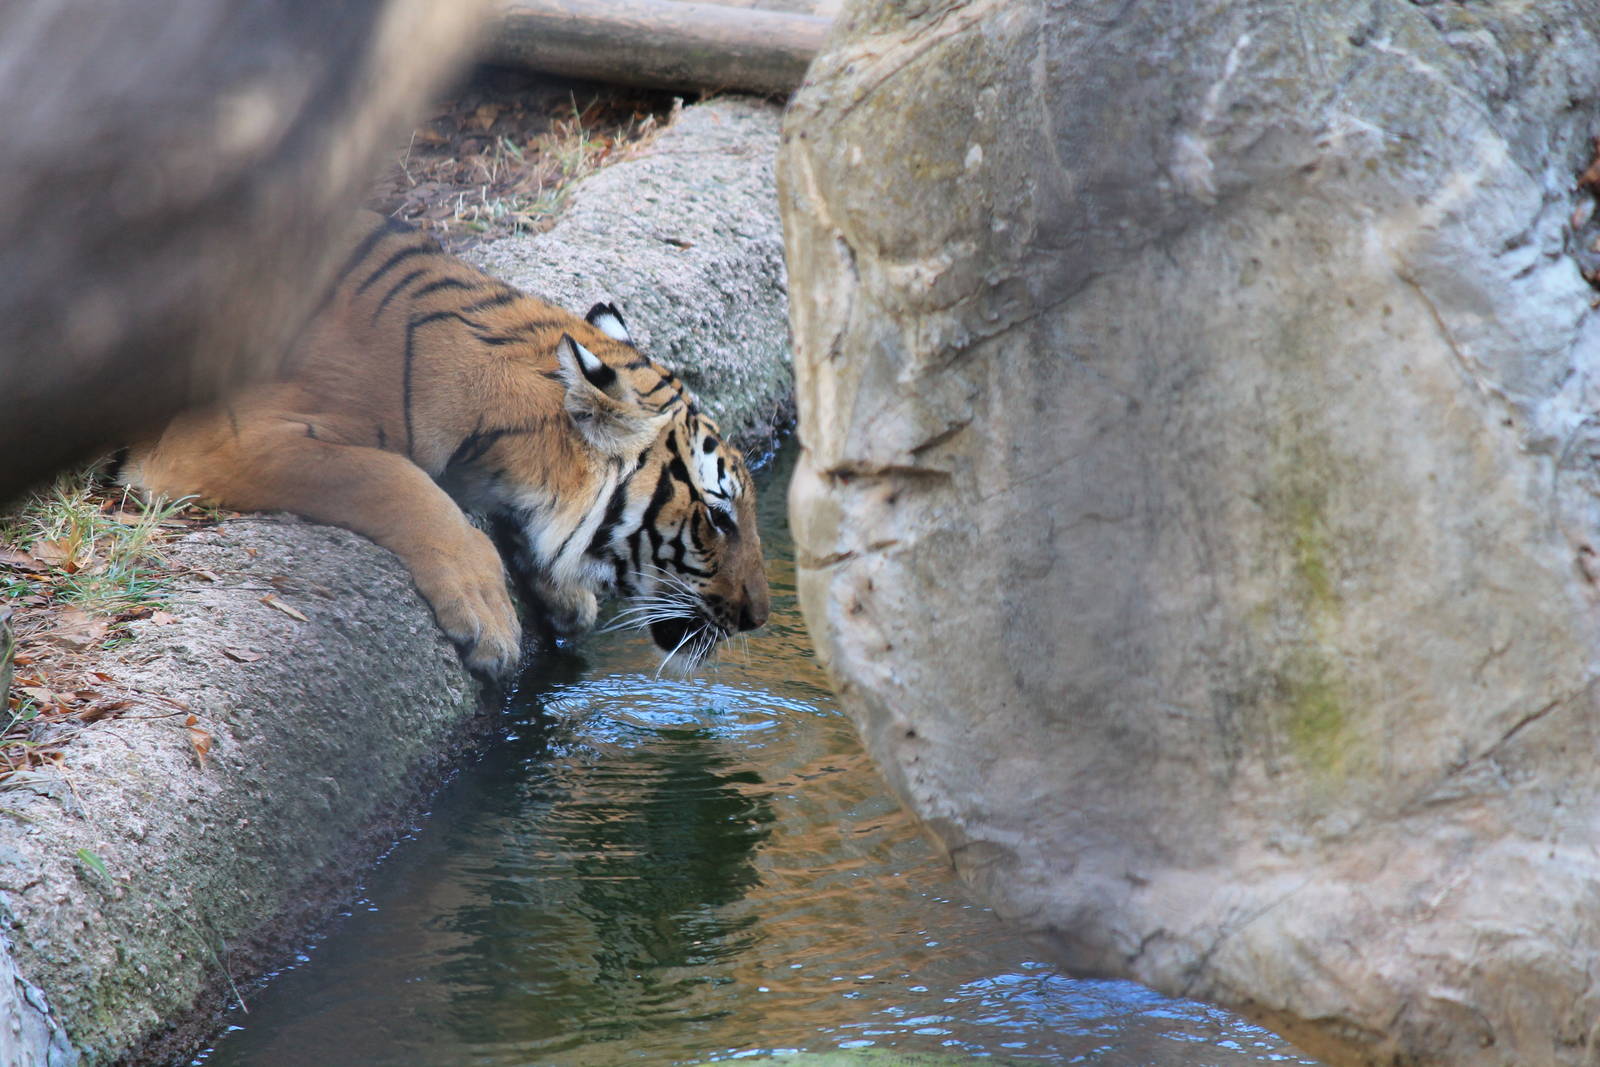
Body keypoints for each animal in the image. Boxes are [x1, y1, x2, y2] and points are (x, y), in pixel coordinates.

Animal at [122, 210, 769, 681]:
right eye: (717, 517)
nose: (759, 617)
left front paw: (565, 595)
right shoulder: (221, 437)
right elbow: (394, 479)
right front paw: (489, 617)